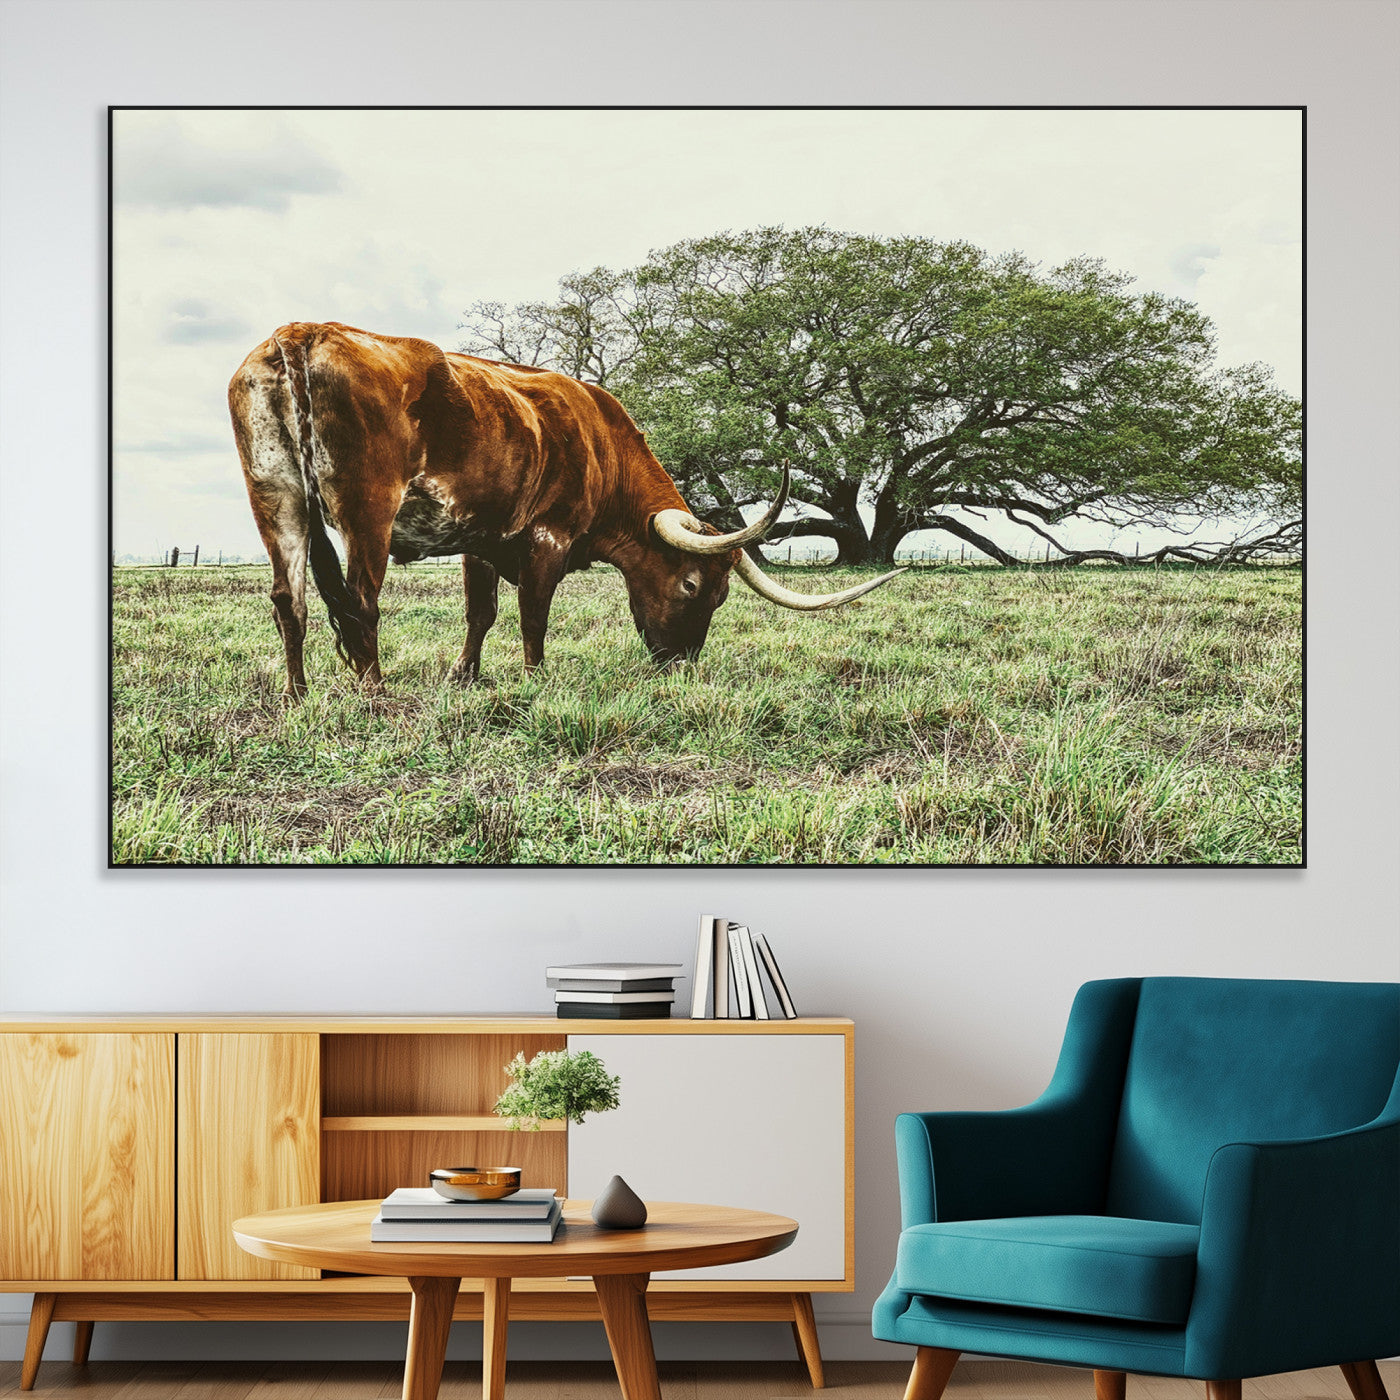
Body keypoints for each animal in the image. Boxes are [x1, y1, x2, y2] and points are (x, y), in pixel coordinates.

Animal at [228, 322, 905, 699]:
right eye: (693, 586)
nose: (679, 665)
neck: (601, 443)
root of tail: (302, 332)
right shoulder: (547, 536)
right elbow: (534, 615)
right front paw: (535, 679)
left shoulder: (479, 536)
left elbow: (480, 613)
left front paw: (465, 677)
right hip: (367, 506)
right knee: (361, 598)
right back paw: (373, 691)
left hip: (277, 500)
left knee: (289, 600)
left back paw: (296, 694)